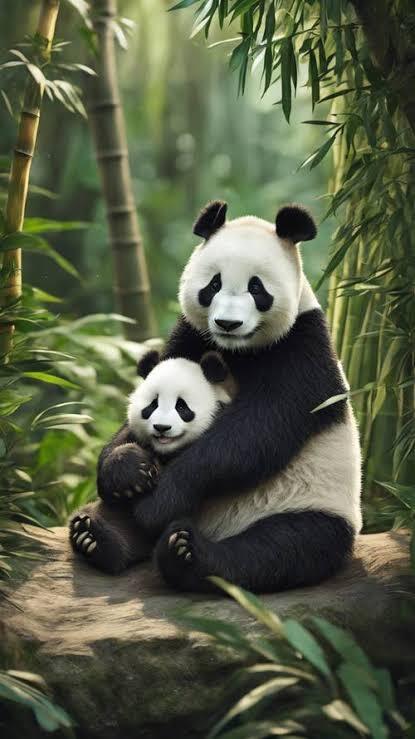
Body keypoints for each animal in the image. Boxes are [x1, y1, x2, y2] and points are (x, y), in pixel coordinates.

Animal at [69, 350, 235, 574]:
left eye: (181, 406)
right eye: (152, 405)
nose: (161, 428)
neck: (166, 450)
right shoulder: (135, 436)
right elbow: (120, 447)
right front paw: (131, 475)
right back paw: (90, 537)